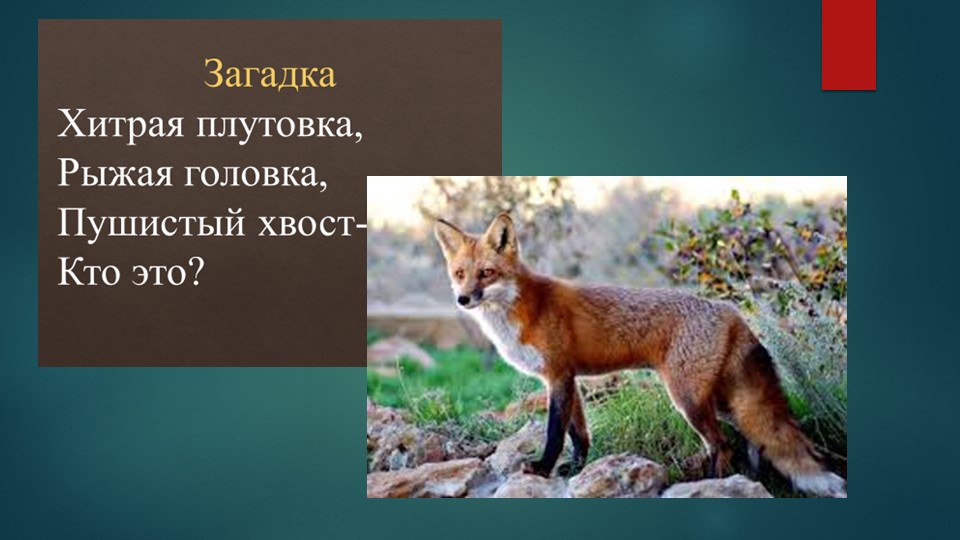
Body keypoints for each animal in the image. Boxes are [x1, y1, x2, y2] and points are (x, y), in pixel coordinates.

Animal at [434, 213, 847, 497]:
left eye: (486, 273)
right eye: (460, 274)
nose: (463, 299)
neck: (522, 308)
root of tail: (730, 311)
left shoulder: (557, 376)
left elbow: (554, 432)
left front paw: (542, 469)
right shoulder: (568, 378)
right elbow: (579, 434)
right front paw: (574, 469)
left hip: (688, 400)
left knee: (722, 445)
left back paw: (711, 485)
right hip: (722, 401)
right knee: (750, 441)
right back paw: (747, 482)